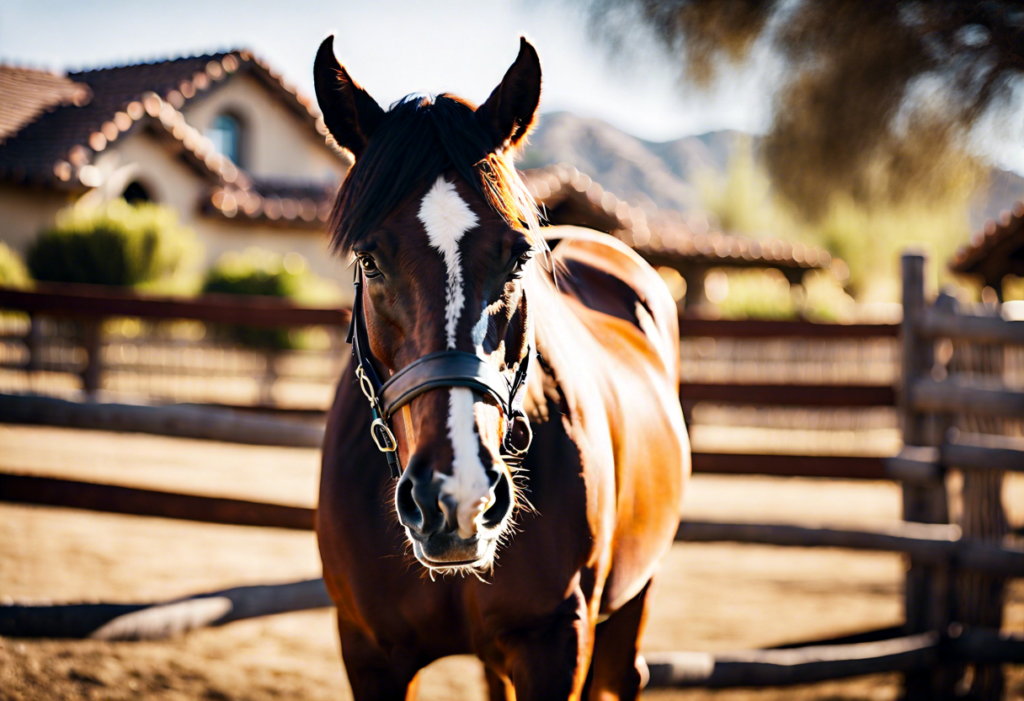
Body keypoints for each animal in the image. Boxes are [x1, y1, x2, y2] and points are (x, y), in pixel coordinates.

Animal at [314, 35, 690, 700]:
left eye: (517, 258)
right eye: (368, 259)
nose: (454, 498)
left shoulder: (556, 642)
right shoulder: (367, 651)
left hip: (632, 598)